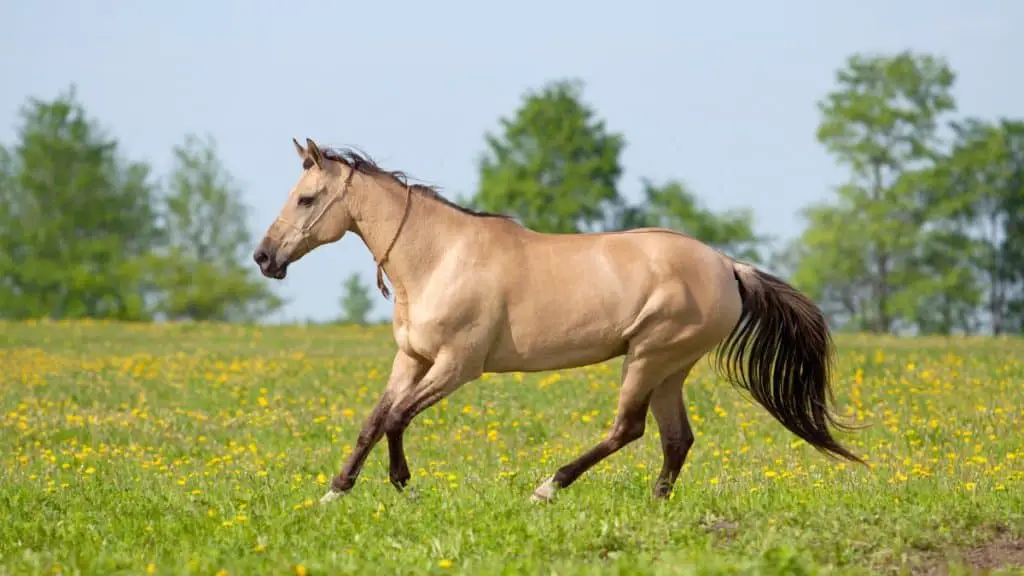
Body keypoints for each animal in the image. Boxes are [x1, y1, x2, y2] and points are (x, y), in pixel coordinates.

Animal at [256, 135, 864, 502]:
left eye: (307, 199)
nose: (264, 258)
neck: (439, 258)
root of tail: (727, 266)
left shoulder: (457, 366)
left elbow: (397, 419)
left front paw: (402, 483)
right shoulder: (413, 358)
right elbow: (373, 420)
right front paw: (335, 491)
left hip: (650, 356)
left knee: (628, 429)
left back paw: (548, 487)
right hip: (671, 367)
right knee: (676, 440)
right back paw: (656, 504)